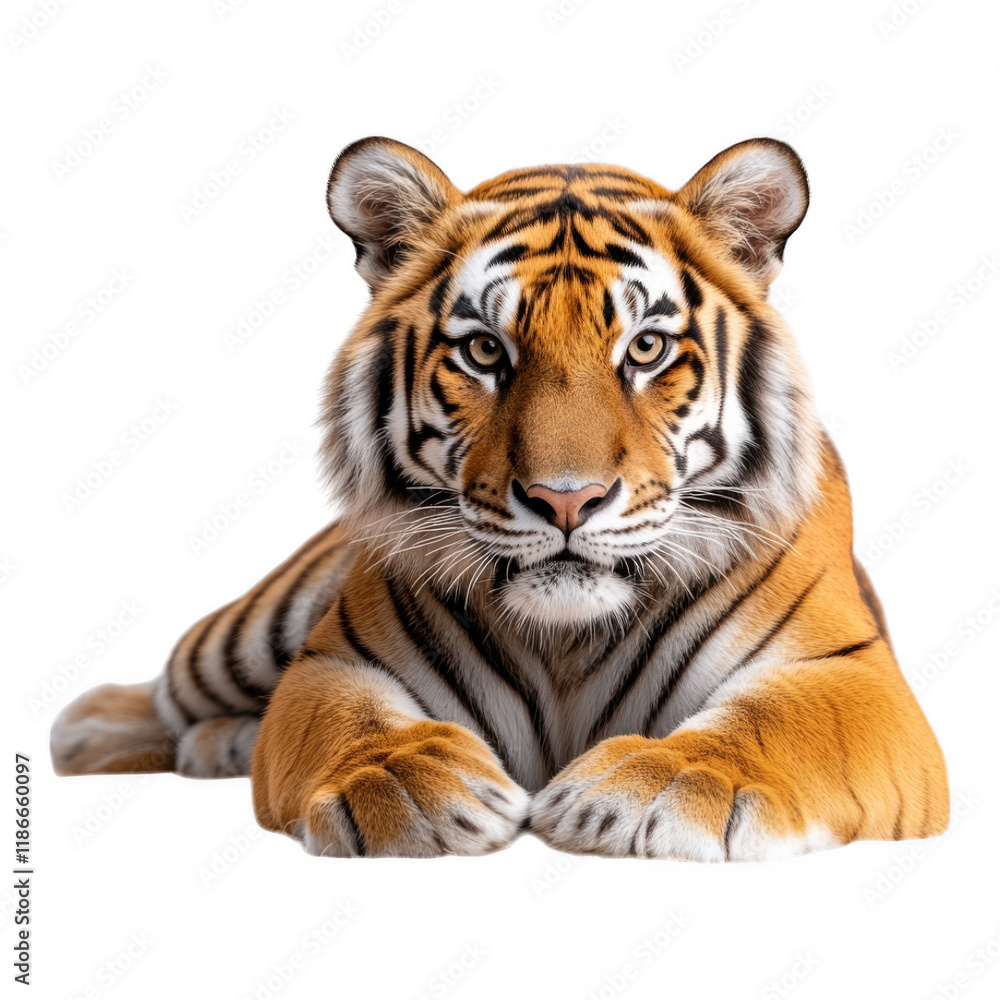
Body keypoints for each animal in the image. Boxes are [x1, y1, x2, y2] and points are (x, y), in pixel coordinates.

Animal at [51, 135, 950, 861]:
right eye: (486, 351)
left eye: (646, 349)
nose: (567, 500)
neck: (567, 642)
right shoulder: (333, 660)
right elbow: (353, 723)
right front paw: (410, 787)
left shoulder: (851, 675)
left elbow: (771, 724)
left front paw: (649, 788)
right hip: (253, 631)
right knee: (173, 681)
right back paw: (90, 732)